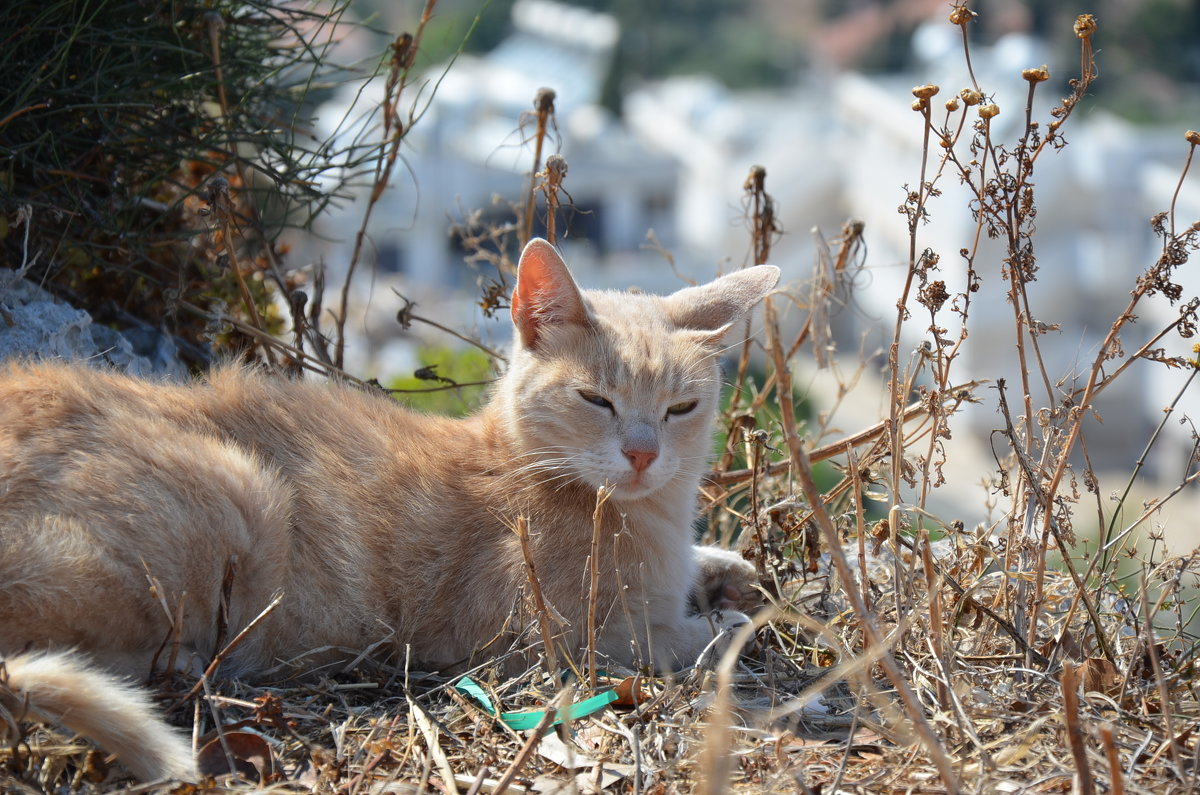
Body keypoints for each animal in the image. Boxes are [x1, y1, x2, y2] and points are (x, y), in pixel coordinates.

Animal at [0, 237, 777, 782]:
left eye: (681, 408)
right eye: (597, 400)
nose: (643, 454)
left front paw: (729, 568)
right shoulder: (558, 642)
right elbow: (697, 637)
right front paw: (729, 617)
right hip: (239, 494)